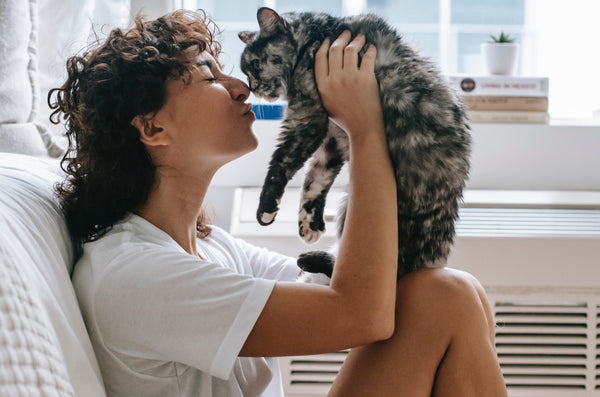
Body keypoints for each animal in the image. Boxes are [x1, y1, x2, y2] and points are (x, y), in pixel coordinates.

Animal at [241, 6, 472, 278]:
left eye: (256, 64)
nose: (252, 87)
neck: (315, 35)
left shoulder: (307, 119)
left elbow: (282, 163)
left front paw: (266, 209)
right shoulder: (332, 137)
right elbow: (316, 181)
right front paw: (310, 223)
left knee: (394, 268)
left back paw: (312, 260)